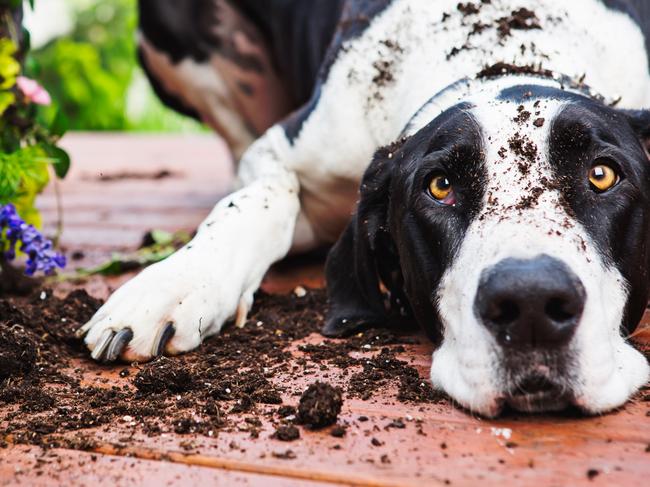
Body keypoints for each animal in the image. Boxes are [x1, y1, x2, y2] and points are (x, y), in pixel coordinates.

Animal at [79, 0, 648, 420]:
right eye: (440, 186)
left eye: (602, 175)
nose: (530, 303)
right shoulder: (283, 151)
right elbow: (257, 201)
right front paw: (173, 285)